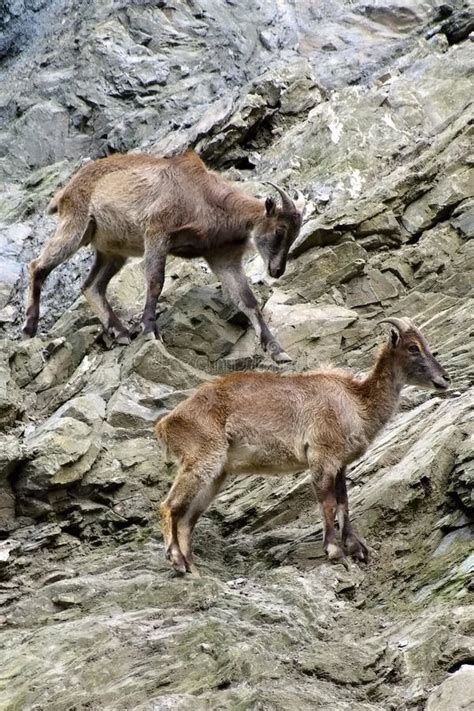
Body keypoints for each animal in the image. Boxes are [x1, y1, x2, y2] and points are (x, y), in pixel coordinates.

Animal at [23, 150, 304, 362]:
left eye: (295, 234)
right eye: (280, 230)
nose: (277, 270)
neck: (203, 196)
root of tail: (64, 192)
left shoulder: (222, 256)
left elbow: (248, 300)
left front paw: (277, 350)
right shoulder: (157, 231)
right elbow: (155, 280)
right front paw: (150, 329)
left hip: (112, 251)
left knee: (91, 286)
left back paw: (120, 332)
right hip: (76, 226)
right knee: (38, 265)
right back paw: (29, 328)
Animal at [157, 320, 450, 576]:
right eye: (413, 347)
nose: (444, 378)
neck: (356, 402)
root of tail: (166, 424)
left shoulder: (339, 464)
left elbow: (344, 501)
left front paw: (356, 548)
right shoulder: (321, 456)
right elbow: (327, 502)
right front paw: (335, 551)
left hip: (217, 473)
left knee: (187, 518)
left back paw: (193, 568)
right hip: (201, 459)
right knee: (169, 506)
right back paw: (176, 560)